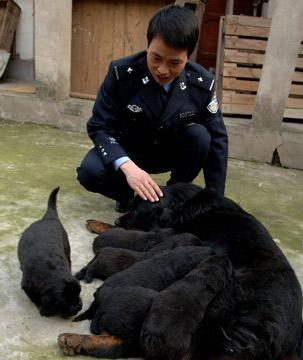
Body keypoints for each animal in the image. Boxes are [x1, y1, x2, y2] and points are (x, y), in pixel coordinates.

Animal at [17, 188, 82, 318]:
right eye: (64, 302)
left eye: (78, 294)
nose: (78, 307)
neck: (52, 270)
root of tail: (48, 218)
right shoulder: (27, 285)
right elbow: (35, 298)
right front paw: (44, 309)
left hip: (66, 245)